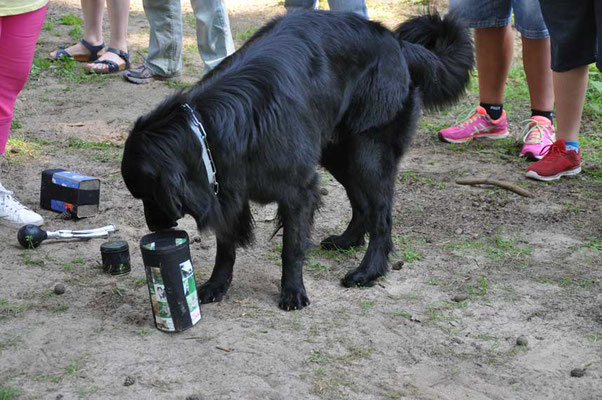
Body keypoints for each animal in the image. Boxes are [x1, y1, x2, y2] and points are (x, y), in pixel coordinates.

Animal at [120, 9, 468, 310]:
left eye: (149, 194)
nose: (154, 228)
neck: (209, 129)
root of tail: (396, 41)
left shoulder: (298, 191)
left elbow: (292, 247)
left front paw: (293, 291)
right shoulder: (228, 192)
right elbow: (226, 247)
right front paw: (217, 285)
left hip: (368, 152)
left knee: (381, 216)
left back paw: (368, 270)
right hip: (337, 153)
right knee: (362, 203)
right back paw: (348, 240)